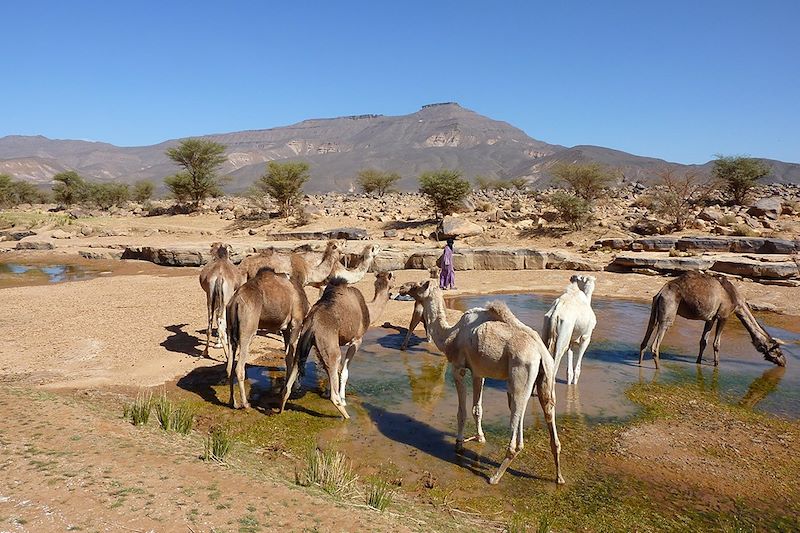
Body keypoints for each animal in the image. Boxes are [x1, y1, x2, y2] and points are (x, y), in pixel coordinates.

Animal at [228, 268, 312, 410]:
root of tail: (235, 301)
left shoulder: (285, 328)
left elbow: (288, 357)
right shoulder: (296, 323)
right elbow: (294, 355)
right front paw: (295, 386)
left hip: (230, 330)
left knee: (229, 367)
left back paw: (233, 402)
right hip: (248, 329)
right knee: (239, 367)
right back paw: (246, 404)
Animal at [280, 272, 396, 418]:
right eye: (394, 279)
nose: (393, 293)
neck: (368, 310)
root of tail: (312, 324)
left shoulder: (337, 342)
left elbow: (332, 370)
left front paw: (327, 391)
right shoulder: (356, 340)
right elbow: (344, 371)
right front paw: (343, 398)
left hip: (303, 343)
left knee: (288, 385)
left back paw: (280, 410)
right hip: (330, 346)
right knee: (334, 390)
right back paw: (346, 414)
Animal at [416, 280, 564, 484]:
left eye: (416, 286)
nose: (401, 288)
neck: (449, 336)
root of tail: (540, 352)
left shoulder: (458, 368)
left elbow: (462, 411)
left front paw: (459, 443)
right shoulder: (479, 372)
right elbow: (477, 409)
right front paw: (480, 438)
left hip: (520, 375)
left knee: (516, 423)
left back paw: (494, 477)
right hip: (546, 378)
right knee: (549, 415)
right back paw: (559, 477)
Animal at [636, 272, 788, 368]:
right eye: (778, 350)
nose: (784, 362)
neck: (737, 300)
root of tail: (661, 292)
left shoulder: (710, 318)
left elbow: (703, 341)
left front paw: (698, 362)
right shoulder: (724, 315)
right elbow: (716, 344)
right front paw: (716, 365)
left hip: (655, 309)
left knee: (647, 333)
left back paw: (640, 363)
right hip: (668, 310)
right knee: (656, 343)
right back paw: (657, 369)